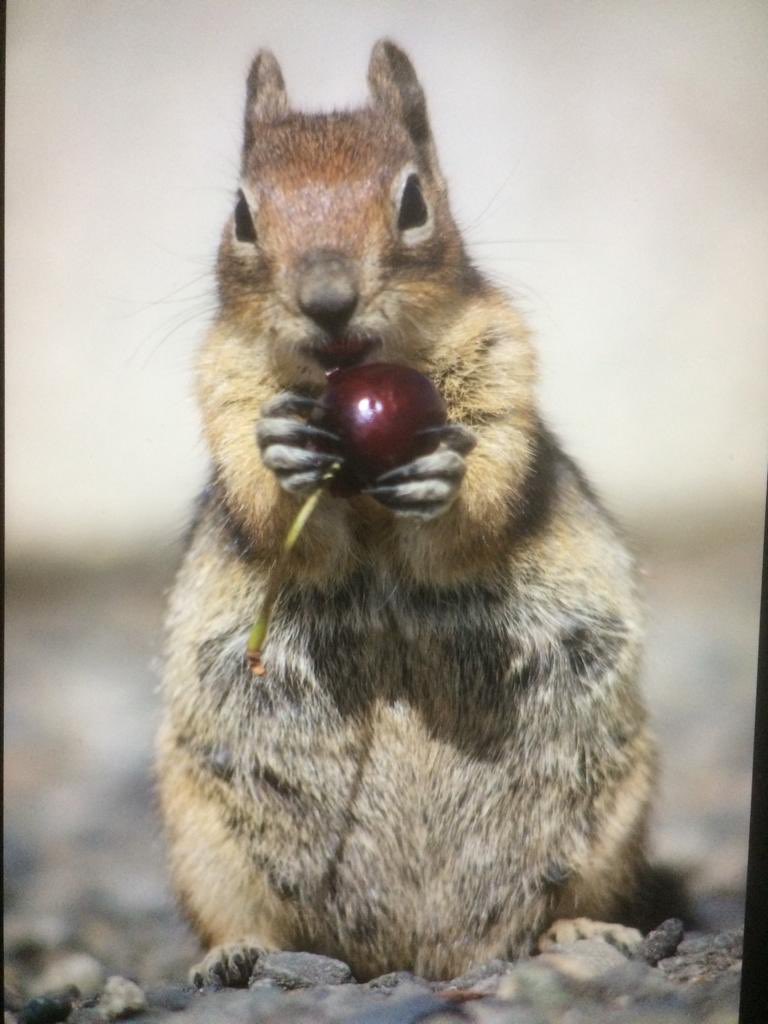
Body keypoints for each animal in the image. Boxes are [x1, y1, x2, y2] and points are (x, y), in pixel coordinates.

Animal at [155, 39, 657, 984]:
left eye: (414, 201)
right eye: (242, 214)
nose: (327, 300)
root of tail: (428, 954)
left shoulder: (502, 373)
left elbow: (483, 500)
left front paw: (441, 482)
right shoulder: (221, 391)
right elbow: (275, 517)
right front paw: (285, 458)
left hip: (617, 805)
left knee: (566, 900)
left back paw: (583, 934)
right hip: (199, 832)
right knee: (246, 919)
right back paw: (234, 957)